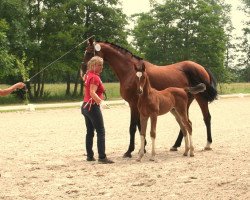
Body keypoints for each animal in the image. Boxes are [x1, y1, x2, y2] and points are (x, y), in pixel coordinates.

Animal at [82, 38, 217, 158]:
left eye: (89, 52)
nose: (83, 71)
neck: (130, 71)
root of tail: (201, 67)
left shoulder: (133, 104)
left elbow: (132, 127)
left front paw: (129, 151)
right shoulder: (138, 106)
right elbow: (140, 126)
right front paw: (143, 148)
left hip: (200, 99)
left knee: (206, 118)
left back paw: (207, 144)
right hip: (183, 104)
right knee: (185, 123)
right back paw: (176, 145)